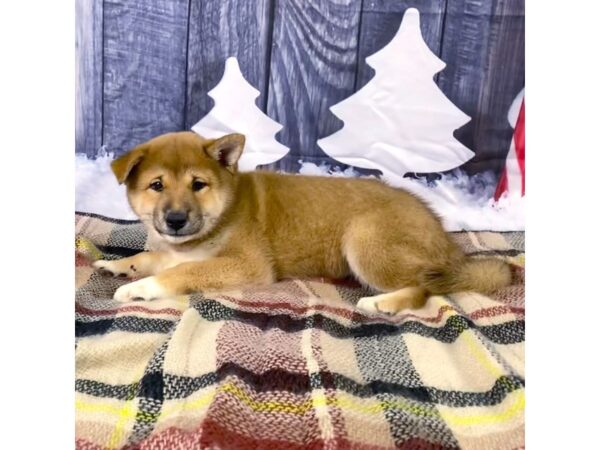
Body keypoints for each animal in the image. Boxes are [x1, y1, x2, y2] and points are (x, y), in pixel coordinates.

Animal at [94, 130, 510, 312]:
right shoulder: (175, 250)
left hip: (365, 241)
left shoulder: (247, 265)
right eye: (157, 185)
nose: (177, 219)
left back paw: (382, 304)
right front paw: (119, 265)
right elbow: (151, 257)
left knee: (424, 288)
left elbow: (180, 273)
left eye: (198, 185)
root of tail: (443, 236)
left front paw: (139, 288)